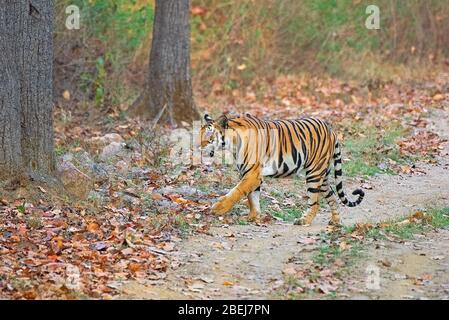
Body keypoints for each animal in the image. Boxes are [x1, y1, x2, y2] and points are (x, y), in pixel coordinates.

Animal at [200, 114, 364, 226]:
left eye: (208, 139)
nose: (198, 148)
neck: (233, 143)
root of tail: (331, 130)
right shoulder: (251, 174)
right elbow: (253, 198)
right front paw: (253, 217)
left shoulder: (252, 174)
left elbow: (237, 192)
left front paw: (218, 208)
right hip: (322, 176)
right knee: (332, 196)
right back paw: (335, 221)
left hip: (314, 173)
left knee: (315, 202)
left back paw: (304, 221)